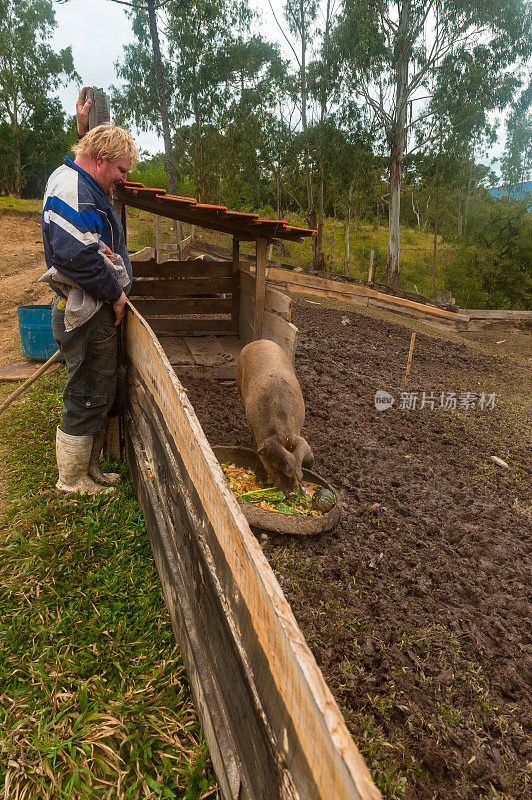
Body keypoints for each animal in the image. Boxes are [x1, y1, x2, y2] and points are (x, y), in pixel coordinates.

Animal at [236, 340, 312, 500]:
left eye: (300, 474)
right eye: (277, 467)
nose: (292, 494)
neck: (285, 434)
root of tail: (260, 341)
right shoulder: (255, 430)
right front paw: (260, 482)